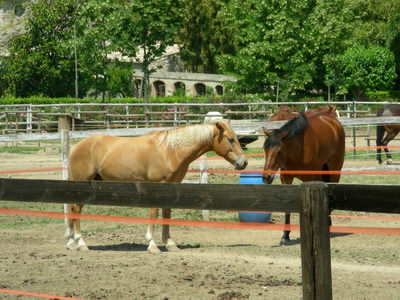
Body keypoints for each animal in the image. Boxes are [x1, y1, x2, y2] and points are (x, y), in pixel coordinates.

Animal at [65, 120, 247, 252]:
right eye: (230, 139)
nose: (243, 163)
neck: (170, 151)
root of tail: (76, 146)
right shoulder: (156, 185)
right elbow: (154, 212)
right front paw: (152, 244)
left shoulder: (171, 186)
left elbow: (167, 213)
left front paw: (170, 243)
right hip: (82, 182)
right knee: (76, 209)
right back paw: (81, 243)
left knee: (75, 209)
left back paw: (72, 243)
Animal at [262, 106, 344, 245]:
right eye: (265, 149)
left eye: (279, 151)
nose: (266, 177)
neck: (298, 150)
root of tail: (334, 122)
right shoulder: (286, 178)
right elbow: (287, 208)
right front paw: (285, 235)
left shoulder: (311, 178)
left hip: (334, 171)